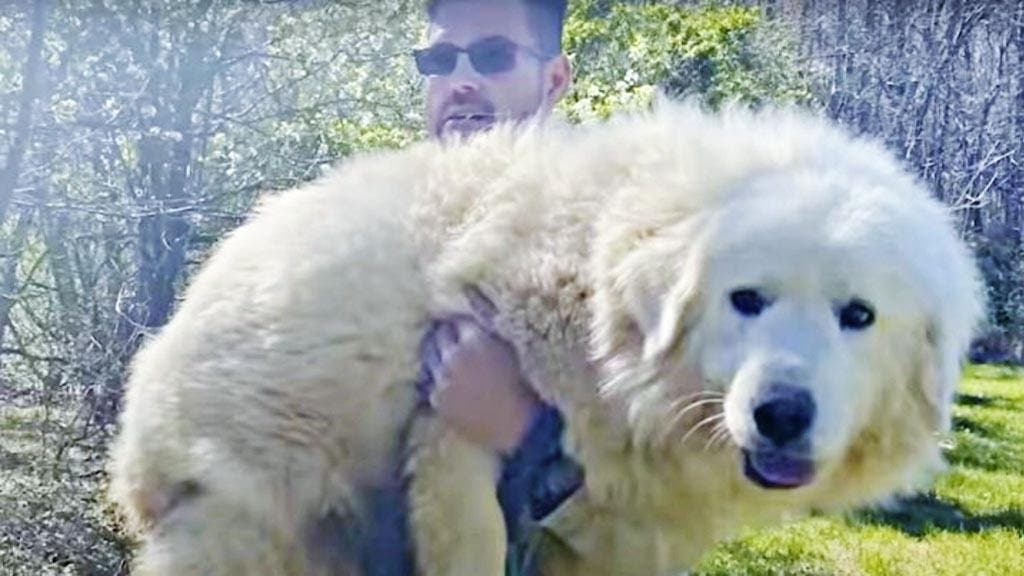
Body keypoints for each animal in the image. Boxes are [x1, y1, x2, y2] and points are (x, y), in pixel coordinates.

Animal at [108, 103, 978, 573]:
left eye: (858, 315)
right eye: (747, 300)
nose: (782, 414)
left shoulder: (621, 520)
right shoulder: (451, 434)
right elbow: (477, 548)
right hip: (254, 513)